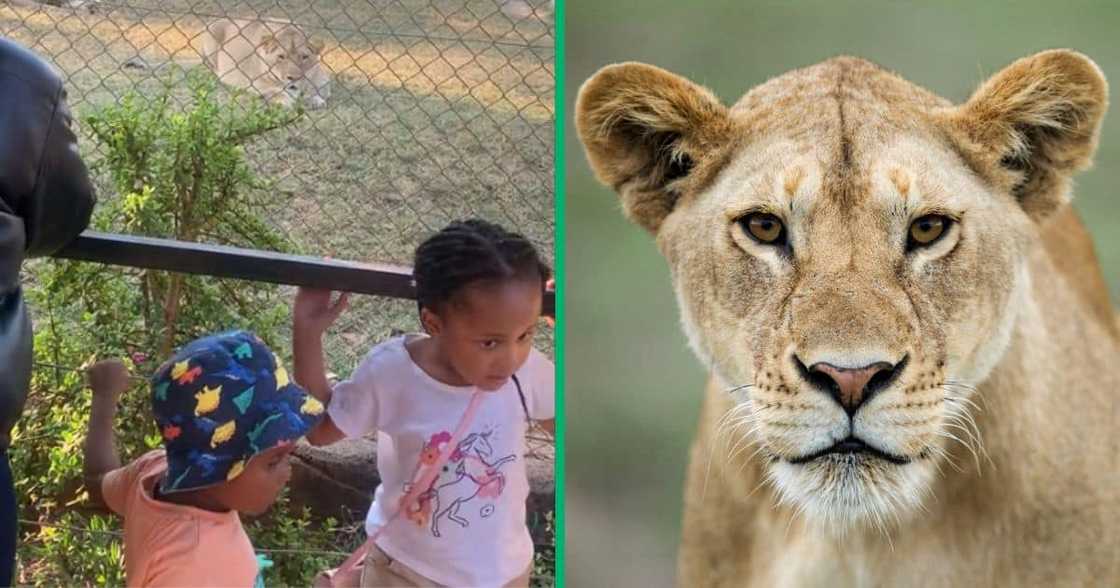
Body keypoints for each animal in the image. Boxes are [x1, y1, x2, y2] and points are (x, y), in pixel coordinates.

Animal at [200, 18, 331, 109]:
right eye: (281, 57)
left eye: (304, 57)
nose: (293, 78)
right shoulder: (254, 84)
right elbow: (273, 92)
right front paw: (288, 101)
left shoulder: (322, 79)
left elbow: (316, 88)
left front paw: (314, 100)